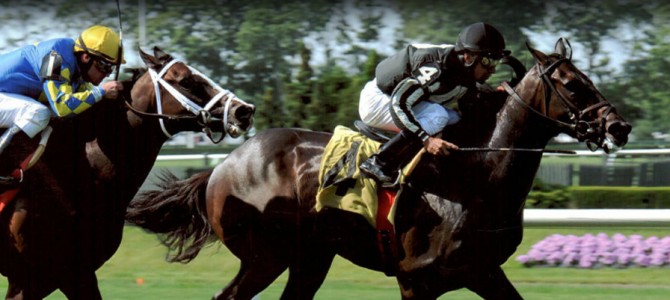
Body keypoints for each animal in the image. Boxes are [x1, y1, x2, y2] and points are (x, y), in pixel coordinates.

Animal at [127, 38, 636, 298]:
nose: (621, 126)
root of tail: (221, 167)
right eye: (573, 84)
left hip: (309, 258)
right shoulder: (417, 279)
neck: (476, 175)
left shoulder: (484, 272)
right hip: (264, 256)